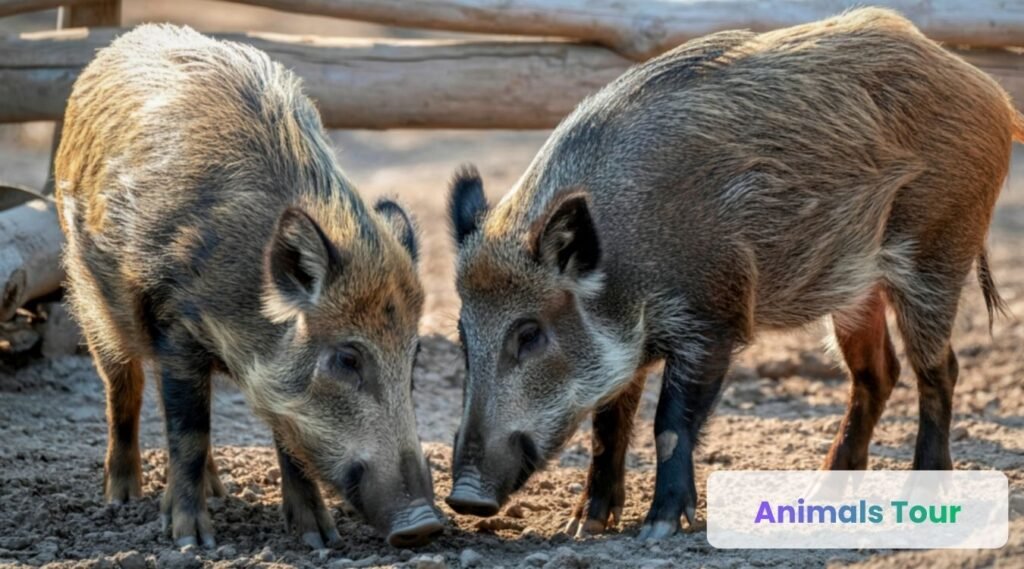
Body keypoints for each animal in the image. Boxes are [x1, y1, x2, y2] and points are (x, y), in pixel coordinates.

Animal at [54, 25, 442, 548]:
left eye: (414, 356)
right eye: (347, 358)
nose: (424, 525)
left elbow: (284, 435)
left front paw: (318, 538)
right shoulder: (175, 325)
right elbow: (189, 431)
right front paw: (192, 540)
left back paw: (216, 492)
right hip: (92, 299)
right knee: (124, 389)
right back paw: (122, 499)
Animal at [445, 8, 1022, 540]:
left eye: (530, 333)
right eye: (463, 338)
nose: (464, 498)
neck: (624, 267)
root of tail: (992, 92)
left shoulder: (714, 318)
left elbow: (668, 423)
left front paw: (658, 529)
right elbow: (608, 422)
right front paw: (581, 526)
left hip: (937, 249)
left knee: (939, 369)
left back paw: (919, 498)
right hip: (855, 288)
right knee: (877, 373)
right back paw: (819, 496)